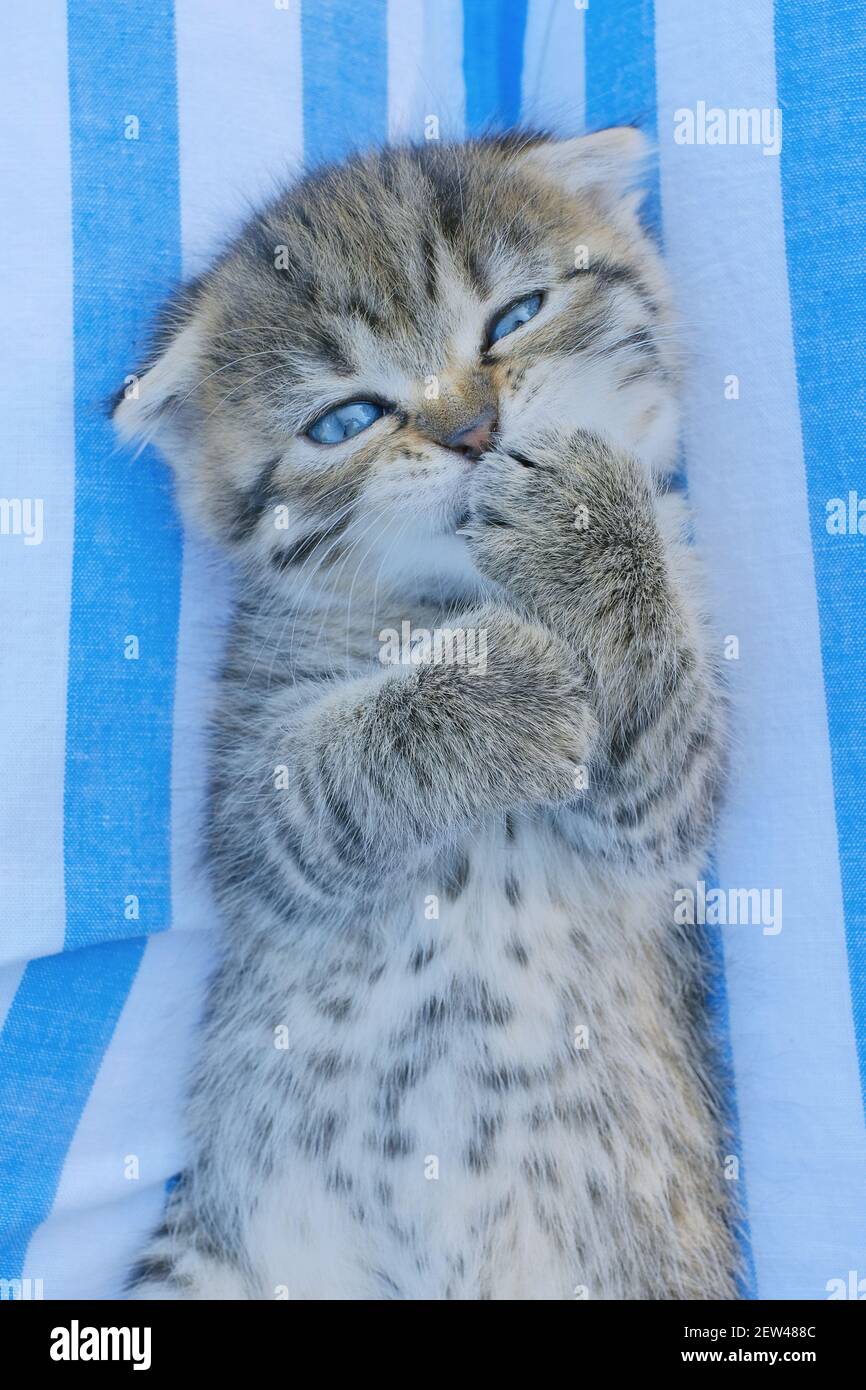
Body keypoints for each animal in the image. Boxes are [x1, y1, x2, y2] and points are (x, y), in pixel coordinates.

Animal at [113, 125, 739, 1295]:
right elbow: (329, 782)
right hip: (207, 1258)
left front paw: (587, 526)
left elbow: (663, 748)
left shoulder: (668, 810)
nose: (473, 429)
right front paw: (501, 688)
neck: (459, 595)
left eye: (514, 315)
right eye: (348, 419)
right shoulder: (253, 806)